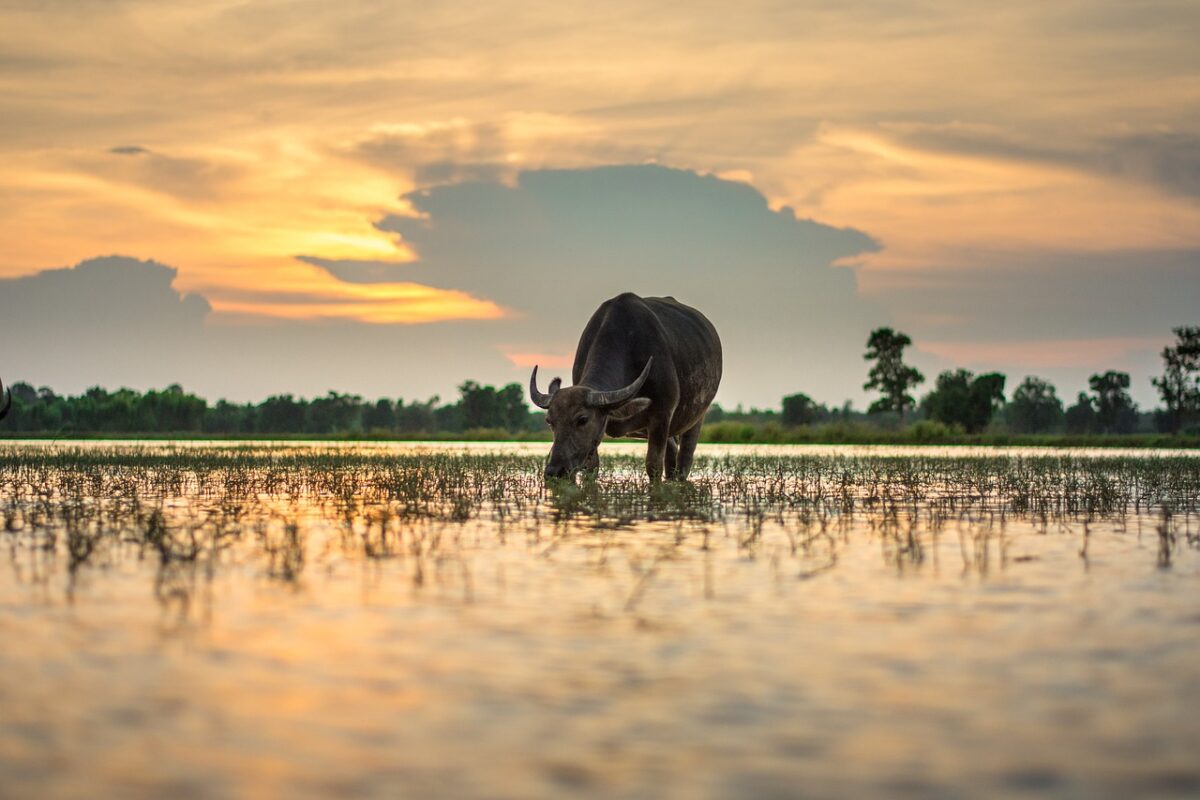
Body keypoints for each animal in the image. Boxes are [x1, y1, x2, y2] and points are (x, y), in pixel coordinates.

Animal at [532, 293, 720, 482]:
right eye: (549, 421)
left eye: (582, 419)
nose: (555, 471)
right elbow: (591, 469)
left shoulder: (662, 415)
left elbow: (653, 465)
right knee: (672, 452)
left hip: (696, 418)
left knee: (684, 459)